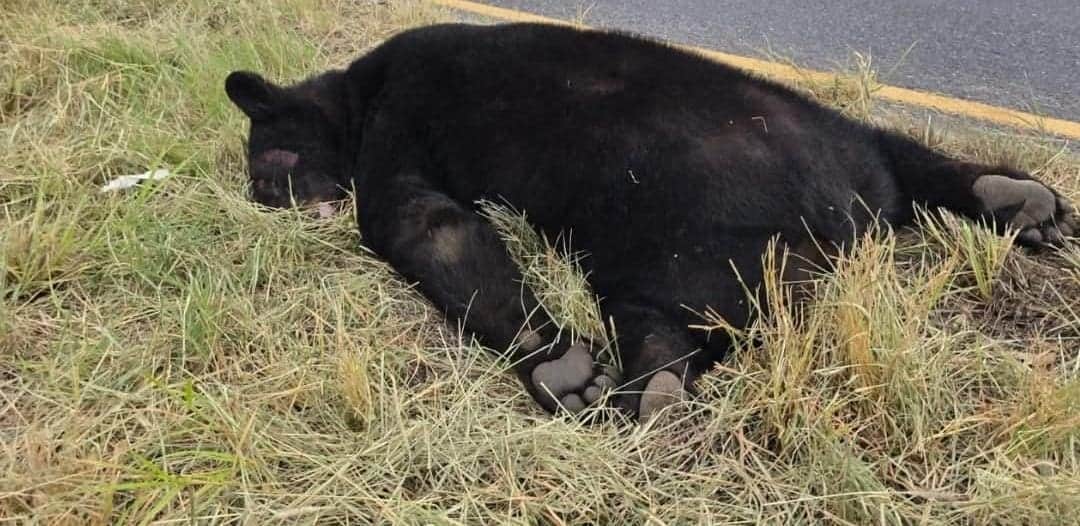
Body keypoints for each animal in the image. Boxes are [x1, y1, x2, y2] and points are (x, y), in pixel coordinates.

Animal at [224, 23, 1077, 421]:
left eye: (272, 162)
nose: (266, 198)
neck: (355, 97)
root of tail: (841, 217)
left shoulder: (397, 132)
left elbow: (423, 226)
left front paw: (557, 359)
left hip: (659, 233)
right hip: (820, 152)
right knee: (904, 157)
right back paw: (1019, 201)